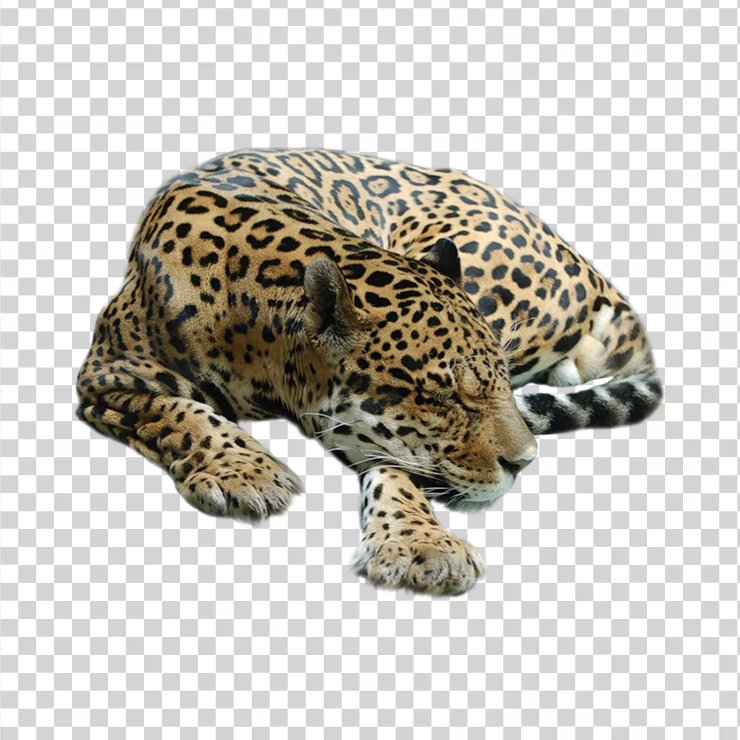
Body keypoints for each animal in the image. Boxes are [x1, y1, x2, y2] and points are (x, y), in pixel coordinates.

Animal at [76, 148, 662, 595]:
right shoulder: (108, 370)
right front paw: (245, 472)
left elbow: (397, 465)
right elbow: (181, 411)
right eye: (442, 396)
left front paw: (422, 544)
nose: (524, 463)